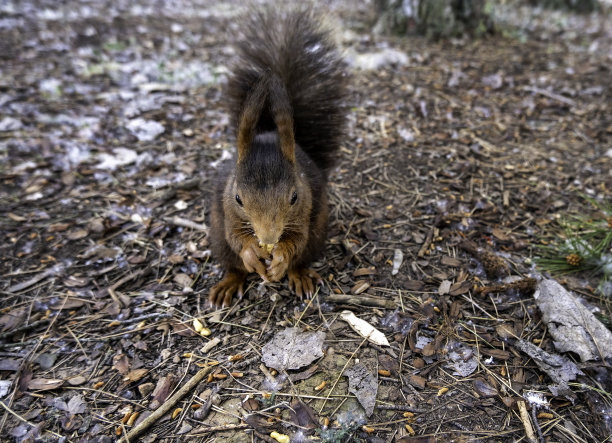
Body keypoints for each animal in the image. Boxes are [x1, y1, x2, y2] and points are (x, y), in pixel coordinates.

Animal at [209, 6, 344, 306]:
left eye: (293, 196)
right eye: (239, 198)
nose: (269, 237)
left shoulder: (304, 208)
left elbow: (296, 240)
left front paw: (280, 258)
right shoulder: (228, 210)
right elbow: (237, 238)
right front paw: (252, 254)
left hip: (318, 230)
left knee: (302, 255)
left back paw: (299, 275)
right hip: (217, 234)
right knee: (232, 261)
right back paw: (229, 283)